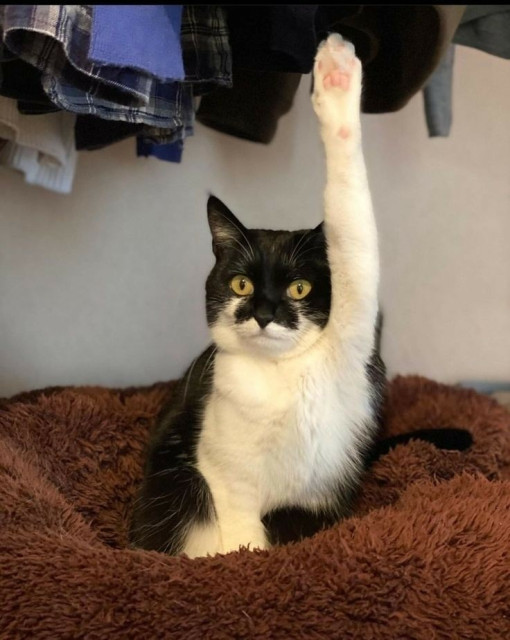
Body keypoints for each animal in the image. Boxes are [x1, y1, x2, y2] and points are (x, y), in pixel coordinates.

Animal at [129, 35, 472, 556]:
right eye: (241, 284)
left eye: (299, 287)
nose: (264, 313)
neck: (278, 374)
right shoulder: (220, 475)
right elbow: (236, 523)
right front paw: (239, 562)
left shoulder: (351, 350)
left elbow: (352, 225)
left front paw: (337, 80)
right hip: (174, 481)